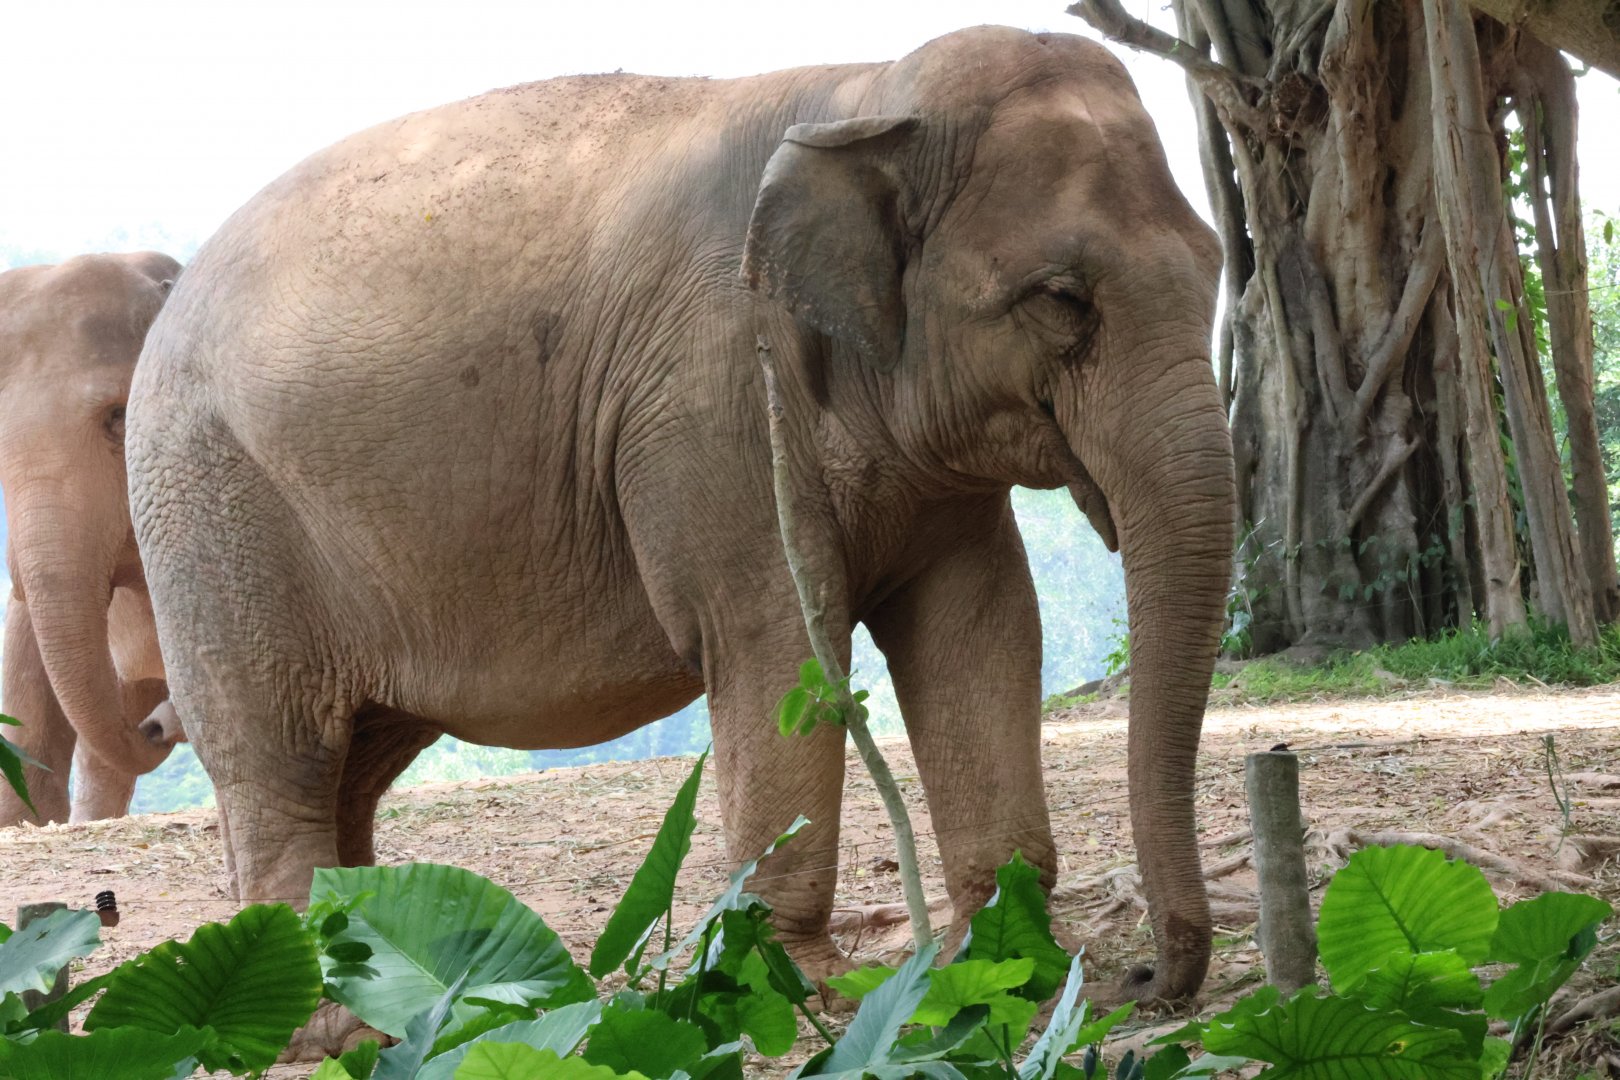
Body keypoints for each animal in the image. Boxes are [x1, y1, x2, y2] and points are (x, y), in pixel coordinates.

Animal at [128, 26, 1233, 1001]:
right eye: (1062, 298)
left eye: (1219, 260)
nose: (1144, 982)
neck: (867, 89)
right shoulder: (716, 404)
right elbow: (777, 650)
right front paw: (800, 984)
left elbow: (983, 628)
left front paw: (1011, 960)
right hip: (210, 521)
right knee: (280, 759)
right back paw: (324, 1019)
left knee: (352, 765)